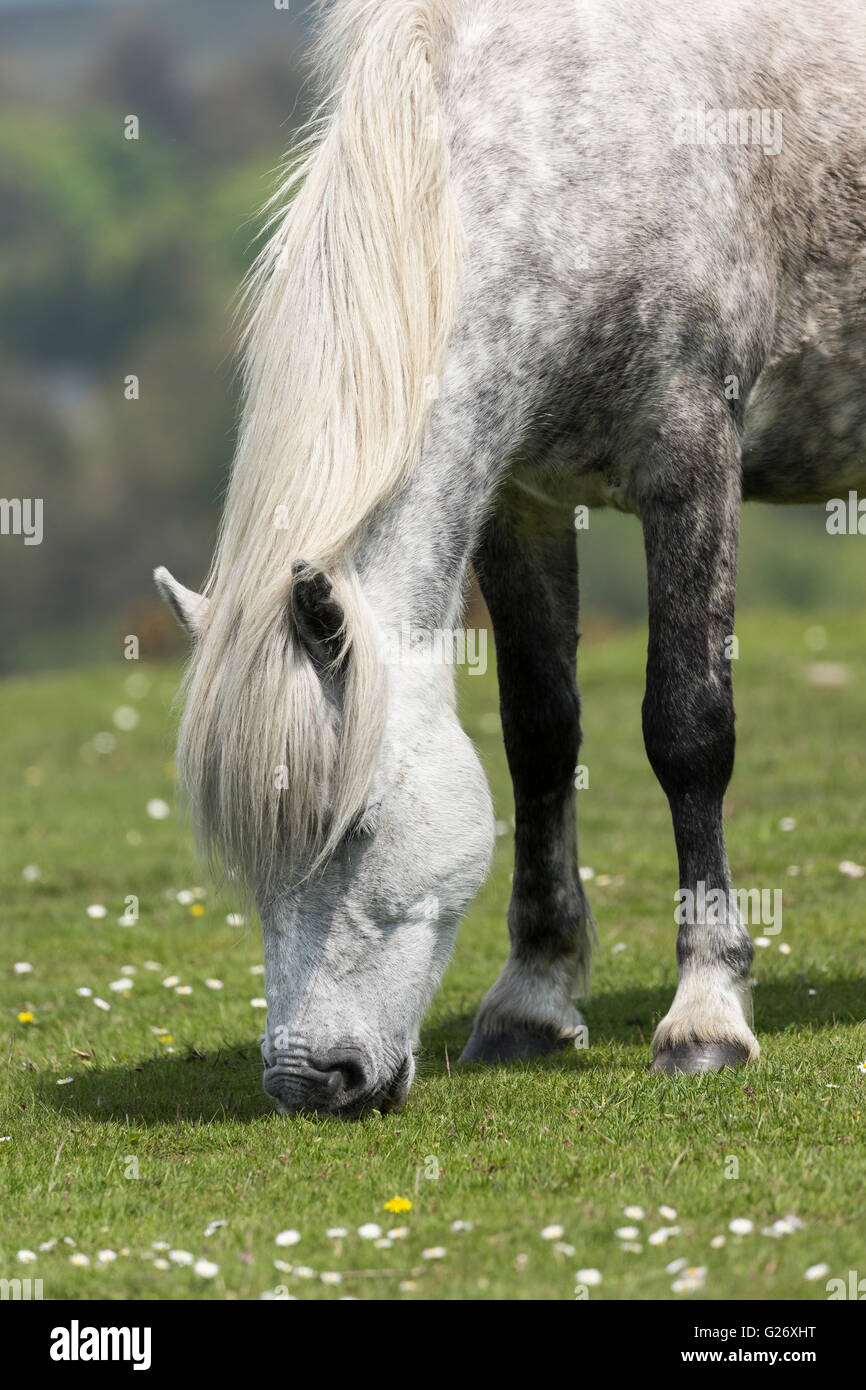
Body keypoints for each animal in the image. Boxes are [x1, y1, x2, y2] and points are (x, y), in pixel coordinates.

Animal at [155, 0, 866, 1115]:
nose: (308, 1081)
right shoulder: (520, 500)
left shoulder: (691, 458)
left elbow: (687, 731)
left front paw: (706, 1012)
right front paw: (531, 1001)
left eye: (355, 825)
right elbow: (539, 735)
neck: (581, 136)